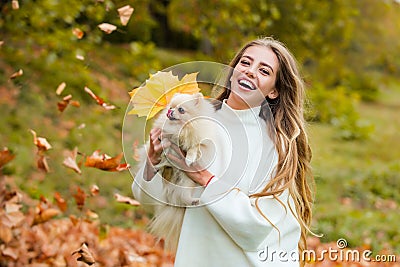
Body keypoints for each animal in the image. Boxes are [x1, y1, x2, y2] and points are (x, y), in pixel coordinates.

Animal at [142, 93, 216, 253]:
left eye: (181, 110)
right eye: (170, 107)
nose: (170, 111)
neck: (182, 128)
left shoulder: (200, 141)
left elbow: (195, 147)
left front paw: (189, 158)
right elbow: (164, 138)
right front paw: (163, 142)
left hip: (188, 182)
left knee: (184, 196)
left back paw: (193, 201)